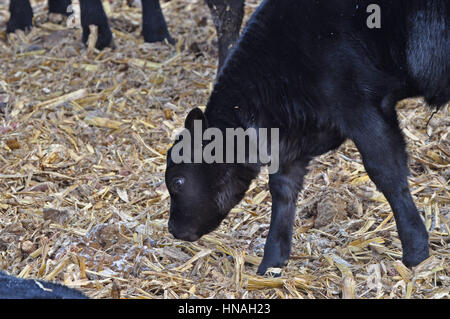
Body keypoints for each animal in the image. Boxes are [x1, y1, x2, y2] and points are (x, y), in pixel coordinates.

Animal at [166, 0, 450, 276]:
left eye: (178, 181)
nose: (172, 229)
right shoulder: (291, 146)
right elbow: (283, 189)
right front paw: (272, 261)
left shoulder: (361, 109)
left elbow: (387, 173)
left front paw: (416, 251)